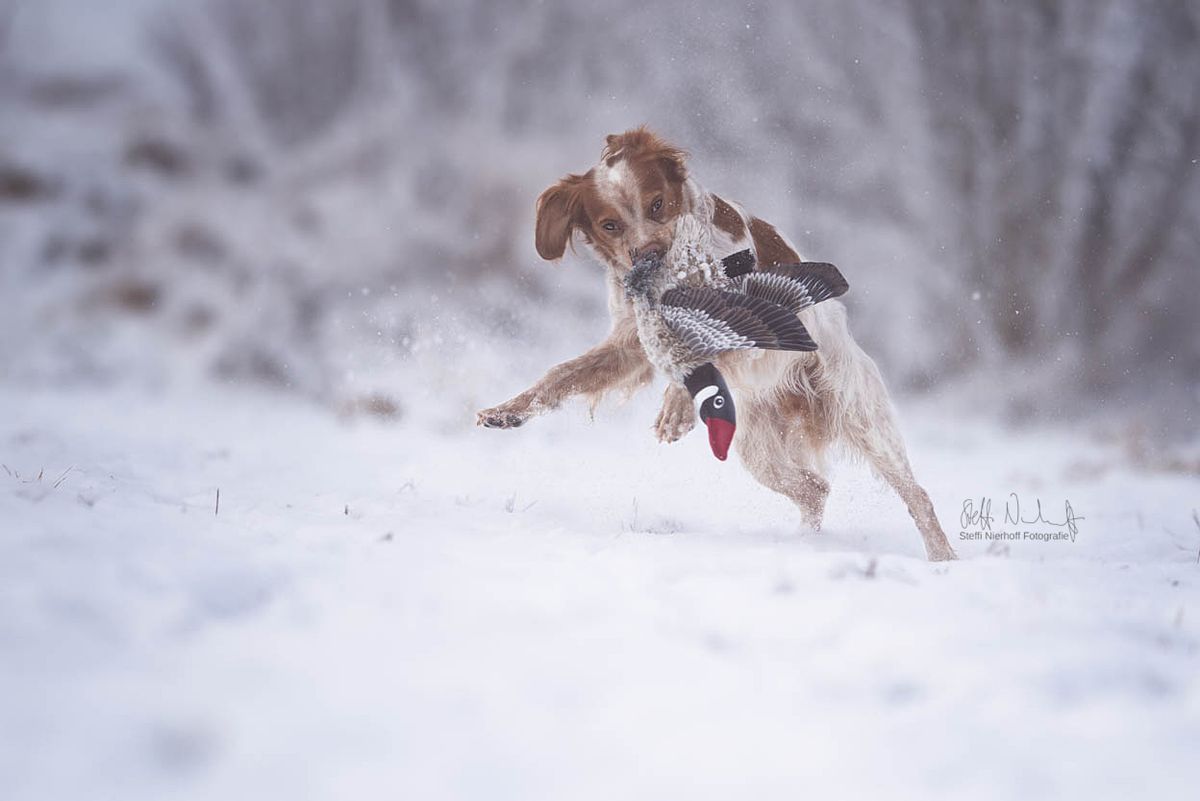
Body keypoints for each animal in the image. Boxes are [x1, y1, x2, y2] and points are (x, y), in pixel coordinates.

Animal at [477, 126, 955, 563]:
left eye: (657, 203)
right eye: (609, 224)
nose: (649, 257)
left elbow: (711, 346)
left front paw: (675, 408)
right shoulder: (631, 345)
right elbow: (562, 374)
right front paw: (507, 411)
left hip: (862, 418)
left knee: (917, 495)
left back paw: (942, 558)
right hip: (758, 450)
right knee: (815, 488)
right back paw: (807, 545)